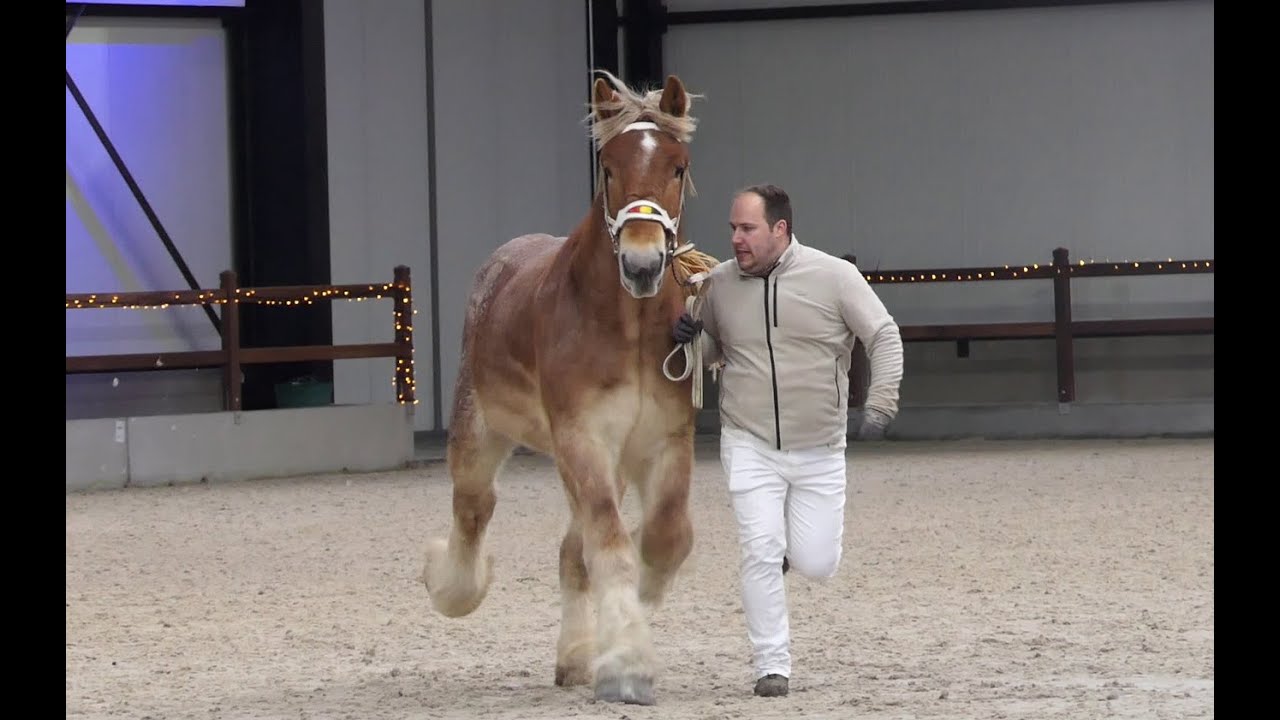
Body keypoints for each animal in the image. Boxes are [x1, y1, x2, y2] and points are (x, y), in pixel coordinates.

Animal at [421, 70, 716, 706]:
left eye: (677, 166)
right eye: (608, 167)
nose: (641, 265)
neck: (628, 326)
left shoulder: (663, 440)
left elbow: (664, 536)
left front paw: (628, 626)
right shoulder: (583, 437)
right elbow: (610, 545)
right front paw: (626, 662)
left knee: (569, 550)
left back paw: (576, 657)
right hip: (481, 437)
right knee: (475, 509)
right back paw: (448, 584)